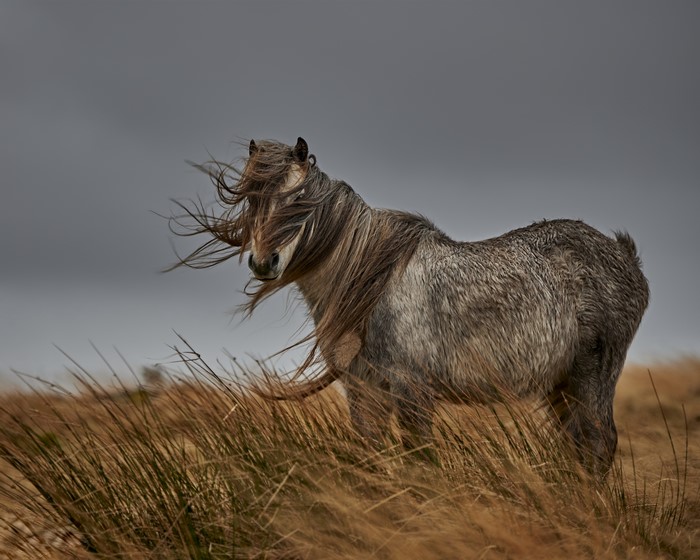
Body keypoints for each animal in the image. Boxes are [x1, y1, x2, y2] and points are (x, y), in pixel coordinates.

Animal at [169, 136, 649, 472]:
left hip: (590, 379)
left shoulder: (412, 390)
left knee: (599, 445)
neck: (371, 282)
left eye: (299, 201)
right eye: (253, 198)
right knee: (578, 449)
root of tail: (625, 255)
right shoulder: (363, 390)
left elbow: (421, 463)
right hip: (561, 385)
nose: (264, 262)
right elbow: (372, 456)